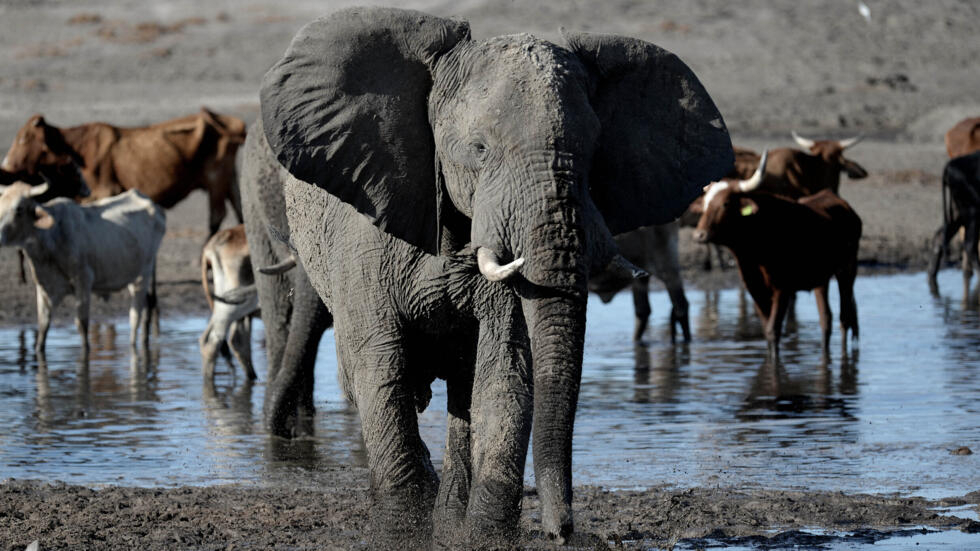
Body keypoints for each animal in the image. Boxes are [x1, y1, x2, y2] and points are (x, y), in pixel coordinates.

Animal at [0, 181, 165, 354]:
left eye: (19, 209)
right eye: (0, 205)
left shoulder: (83, 281)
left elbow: (82, 324)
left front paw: (85, 351)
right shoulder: (44, 287)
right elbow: (43, 326)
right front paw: (39, 350)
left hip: (142, 274)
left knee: (135, 315)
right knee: (148, 306)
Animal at [1, 109, 247, 236]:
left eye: (23, 139)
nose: (7, 164)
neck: (78, 149)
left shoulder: (105, 191)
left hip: (216, 178)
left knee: (217, 216)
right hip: (230, 178)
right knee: (239, 208)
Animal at [249, 5, 732, 548]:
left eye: (592, 154)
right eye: (479, 150)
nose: (561, 530)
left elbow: (505, 370)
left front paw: (484, 538)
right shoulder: (365, 240)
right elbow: (382, 367)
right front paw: (402, 534)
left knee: (465, 390)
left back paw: (449, 521)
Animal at [692, 151, 860, 360]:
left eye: (725, 203)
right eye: (705, 204)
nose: (699, 235)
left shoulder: (782, 288)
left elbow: (774, 330)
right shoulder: (755, 288)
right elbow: (767, 329)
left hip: (847, 270)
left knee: (844, 318)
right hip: (821, 279)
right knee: (826, 319)